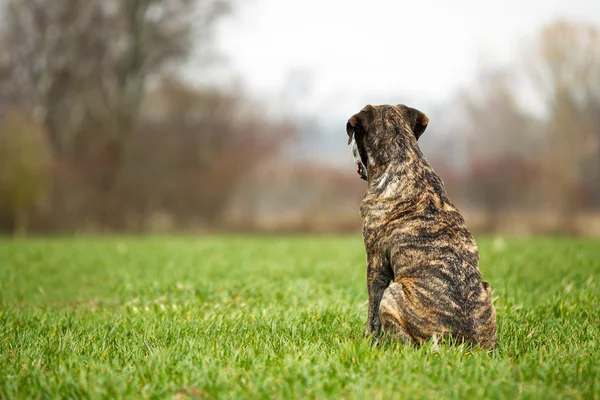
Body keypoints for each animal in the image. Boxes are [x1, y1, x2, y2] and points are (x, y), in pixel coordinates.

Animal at [346, 104, 496, 350]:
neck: (404, 159)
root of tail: (460, 342)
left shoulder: (376, 264)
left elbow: (372, 315)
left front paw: (368, 342)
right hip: (486, 289)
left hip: (393, 293)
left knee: (406, 342)